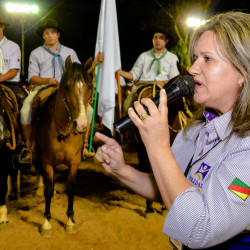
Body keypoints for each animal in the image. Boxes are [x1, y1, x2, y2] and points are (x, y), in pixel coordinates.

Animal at [32, 57, 93, 236]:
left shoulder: (75, 162)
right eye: (67, 86)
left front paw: (70, 221)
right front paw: (46, 223)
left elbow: (71, 188)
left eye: (89, 88)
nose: (81, 124)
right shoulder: (47, 162)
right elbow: (48, 190)